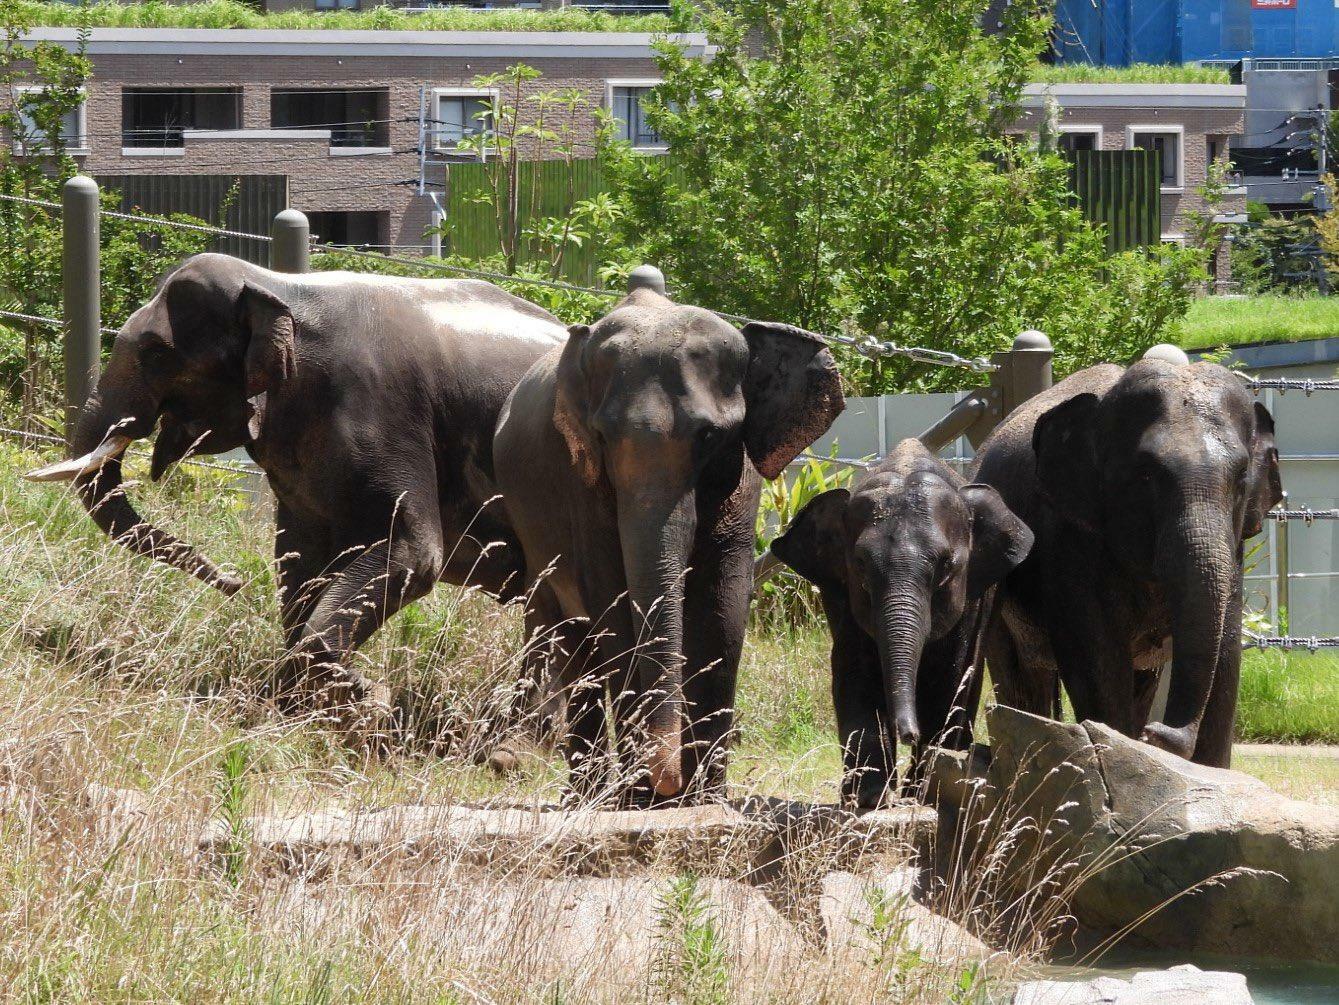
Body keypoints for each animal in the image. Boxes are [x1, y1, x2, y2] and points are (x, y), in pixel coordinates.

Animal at [30, 252, 565, 717]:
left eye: (156, 353)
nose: (233, 581)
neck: (279, 286)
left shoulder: (388, 416)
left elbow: (411, 555)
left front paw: (355, 696)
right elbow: (300, 557)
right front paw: (302, 702)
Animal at [492, 286, 846, 808]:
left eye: (711, 435)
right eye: (601, 436)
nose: (667, 781)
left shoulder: (743, 479)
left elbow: (724, 604)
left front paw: (705, 799)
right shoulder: (580, 482)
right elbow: (613, 604)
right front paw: (640, 798)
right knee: (570, 642)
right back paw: (588, 798)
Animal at [765, 436, 1033, 808]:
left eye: (946, 565)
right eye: (860, 564)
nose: (909, 733)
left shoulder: (972, 598)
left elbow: (951, 674)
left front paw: (922, 792)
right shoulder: (841, 594)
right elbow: (855, 669)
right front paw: (868, 798)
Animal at [969, 358, 1280, 765]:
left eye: (1242, 476)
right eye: (1145, 473)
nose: (1158, 734)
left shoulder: (1236, 541)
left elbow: (1227, 657)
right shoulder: (1066, 533)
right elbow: (1097, 657)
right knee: (1020, 676)